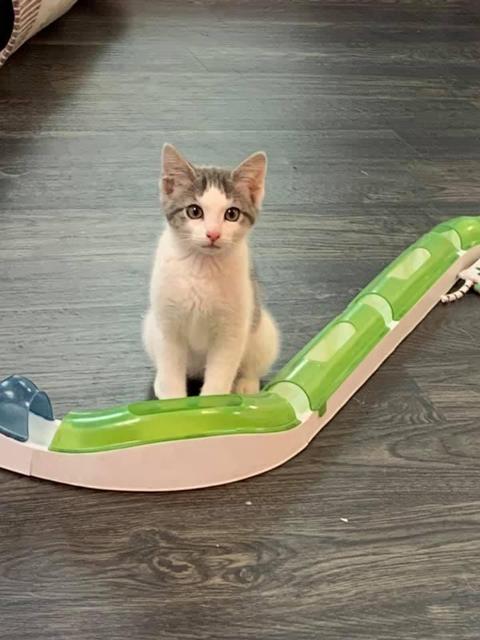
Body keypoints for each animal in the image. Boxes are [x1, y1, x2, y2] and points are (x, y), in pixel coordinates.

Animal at [143, 143, 279, 399]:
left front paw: (213, 404)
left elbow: (220, 372)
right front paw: (171, 402)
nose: (213, 234)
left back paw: (246, 383)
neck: (201, 266)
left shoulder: (232, 329)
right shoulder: (167, 325)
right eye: (194, 211)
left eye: (232, 214)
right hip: (149, 327)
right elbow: (170, 367)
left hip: (263, 331)